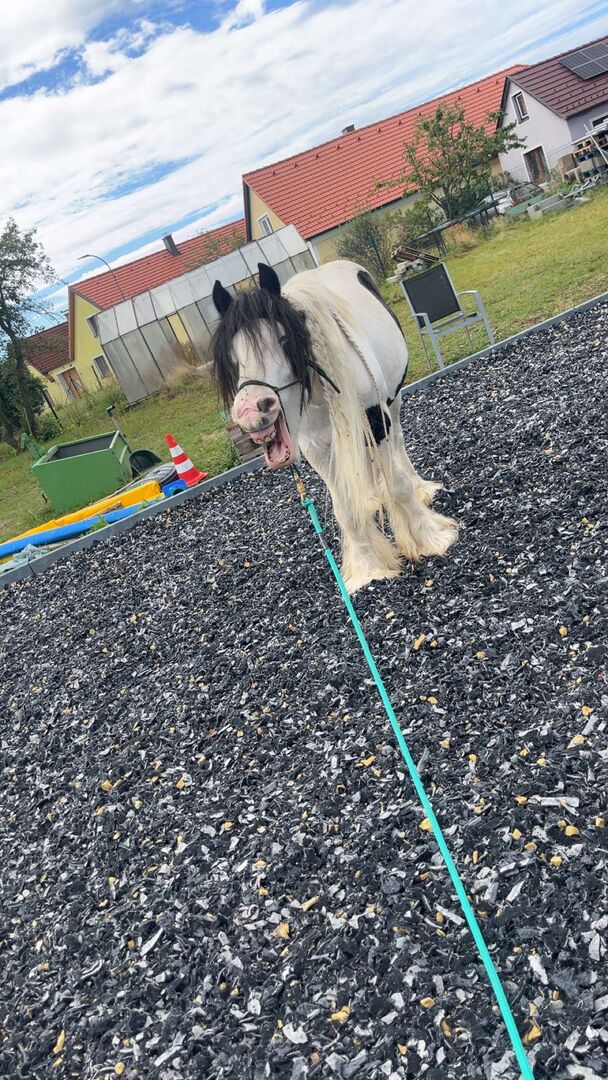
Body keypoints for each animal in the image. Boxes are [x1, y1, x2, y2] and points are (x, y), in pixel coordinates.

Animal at [211, 259, 458, 593]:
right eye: (232, 357)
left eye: (284, 339)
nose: (251, 410)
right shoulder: (316, 448)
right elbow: (346, 510)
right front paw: (369, 568)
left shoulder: (376, 420)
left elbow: (398, 486)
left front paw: (431, 537)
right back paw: (371, 498)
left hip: (392, 404)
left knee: (398, 445)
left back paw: (420, 489)